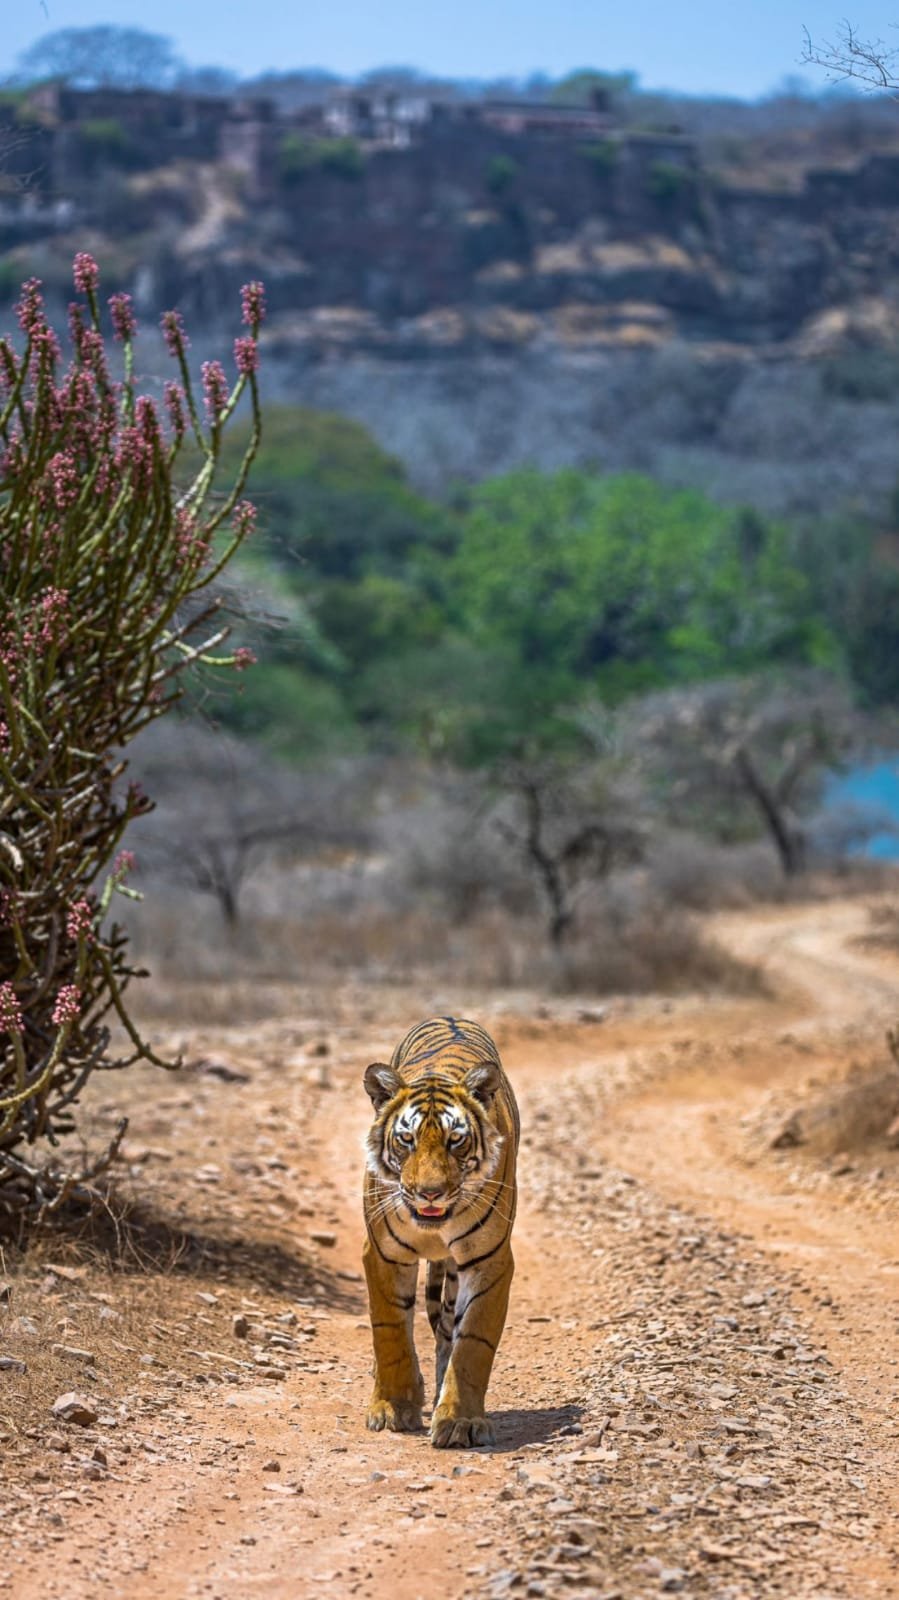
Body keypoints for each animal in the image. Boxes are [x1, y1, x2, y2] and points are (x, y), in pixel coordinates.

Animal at [362, 1015, 519, 1449]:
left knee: (448, 1331)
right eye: (406, 1139)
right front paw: (393, 1408)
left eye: (455, 1140)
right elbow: (390, 1334)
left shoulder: (490, 1261)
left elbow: (472, 1345)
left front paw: (460, 1420)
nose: (429, 1192)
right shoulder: (383, 1253)